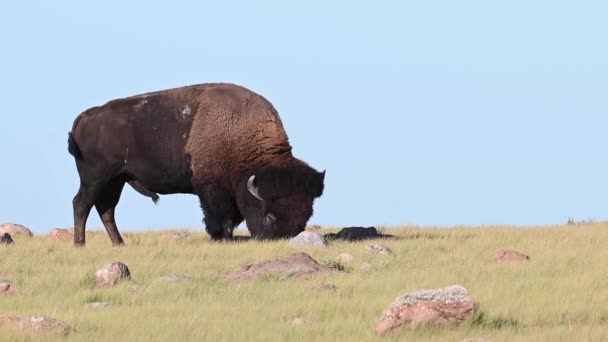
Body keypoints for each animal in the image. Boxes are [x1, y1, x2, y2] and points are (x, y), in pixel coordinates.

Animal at [67, 84, 326, 247]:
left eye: (307, 214)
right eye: (270, 215)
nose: (284, 239)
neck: (238, 135)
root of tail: (86, 116)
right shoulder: (211, 190)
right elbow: (220, 218)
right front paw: (221, 238)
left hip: (116, 180)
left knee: (106, 209)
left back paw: (119, 244)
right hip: (95, 178)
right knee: (82, 204)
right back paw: (80, 244)